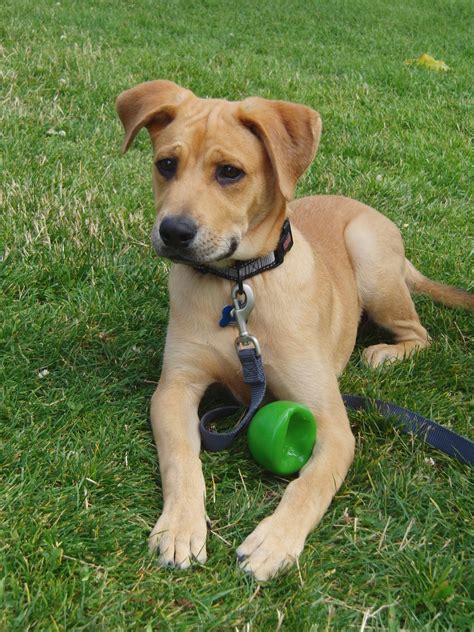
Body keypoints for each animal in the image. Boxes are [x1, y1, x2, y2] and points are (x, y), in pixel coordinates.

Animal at [115, 81, 474, 580]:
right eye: (166, 164)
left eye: (230, 172)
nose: (174, 232)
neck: (238, 286)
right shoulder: (175, 387)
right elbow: (181, 459)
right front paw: (182, 526)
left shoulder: (331, 422)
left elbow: (310, 484)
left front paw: (275, 541)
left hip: (371, 260)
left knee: (420, 333)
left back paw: (386, 354)